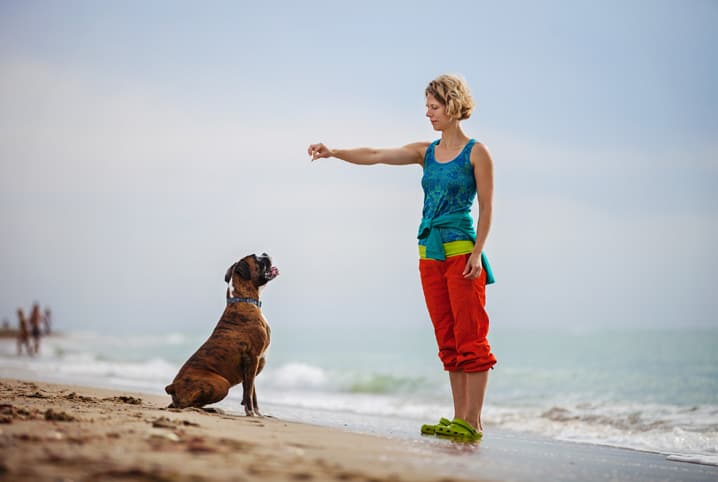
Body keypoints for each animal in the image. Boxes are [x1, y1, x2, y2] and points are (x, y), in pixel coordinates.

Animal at [165, 252, 278, 414]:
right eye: (257, 259)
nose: (265, 253)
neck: (244, 299)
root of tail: (172, 386)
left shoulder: (252, 366)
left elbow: (251, 391)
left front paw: (257, 413)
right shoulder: (252, 359)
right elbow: (248, 392)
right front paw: (251, 413)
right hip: (222, 383)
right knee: (189, 405)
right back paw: (213, 409)